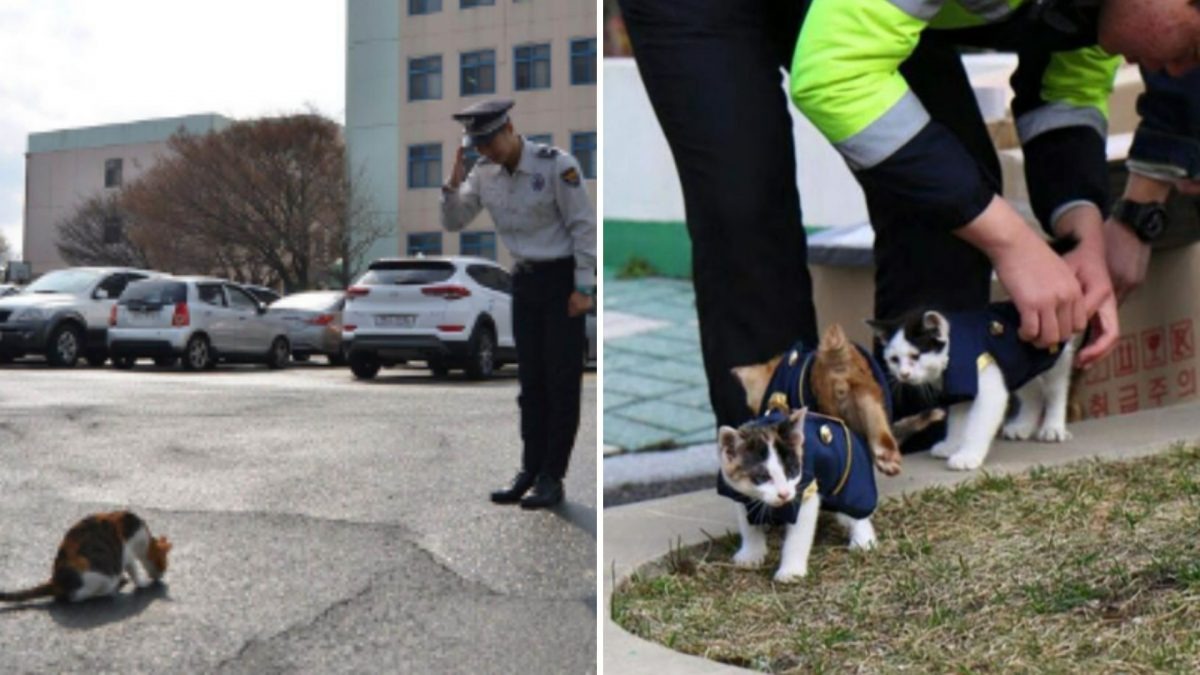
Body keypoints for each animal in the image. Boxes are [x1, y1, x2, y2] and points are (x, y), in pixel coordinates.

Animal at [0, 506, 171, 600]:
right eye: (163, 564)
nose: (162, 576)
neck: (145, 538)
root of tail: (55, 580)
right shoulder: (128, 553)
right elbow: (134, 570)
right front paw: (141, 583)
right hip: (100, 576)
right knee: (77, 596)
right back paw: (114, 587)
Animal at [715, 408, 878, 581]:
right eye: (763, 477)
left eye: (791, 471)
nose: (784, 494)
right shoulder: (740, 495)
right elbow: (748, 524)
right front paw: (751, 554)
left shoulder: (806, 491)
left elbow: (799, 536)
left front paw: (791, 571)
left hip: (852, 475)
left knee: (856, 507)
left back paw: (863, 539)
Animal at [868, 307, 1084, 470]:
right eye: (894, 360)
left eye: (915, 356)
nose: (903, 374)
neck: (953, 353)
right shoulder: (960, 389)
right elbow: (958, 420)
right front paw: (952, 444)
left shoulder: (987, 388)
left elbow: (978, 425)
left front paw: (968, 456)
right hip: (1019, 366)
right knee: (1034, 393)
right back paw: (1022, 426)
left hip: (1054, 358)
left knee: (1056, 390)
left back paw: (1053, 428)